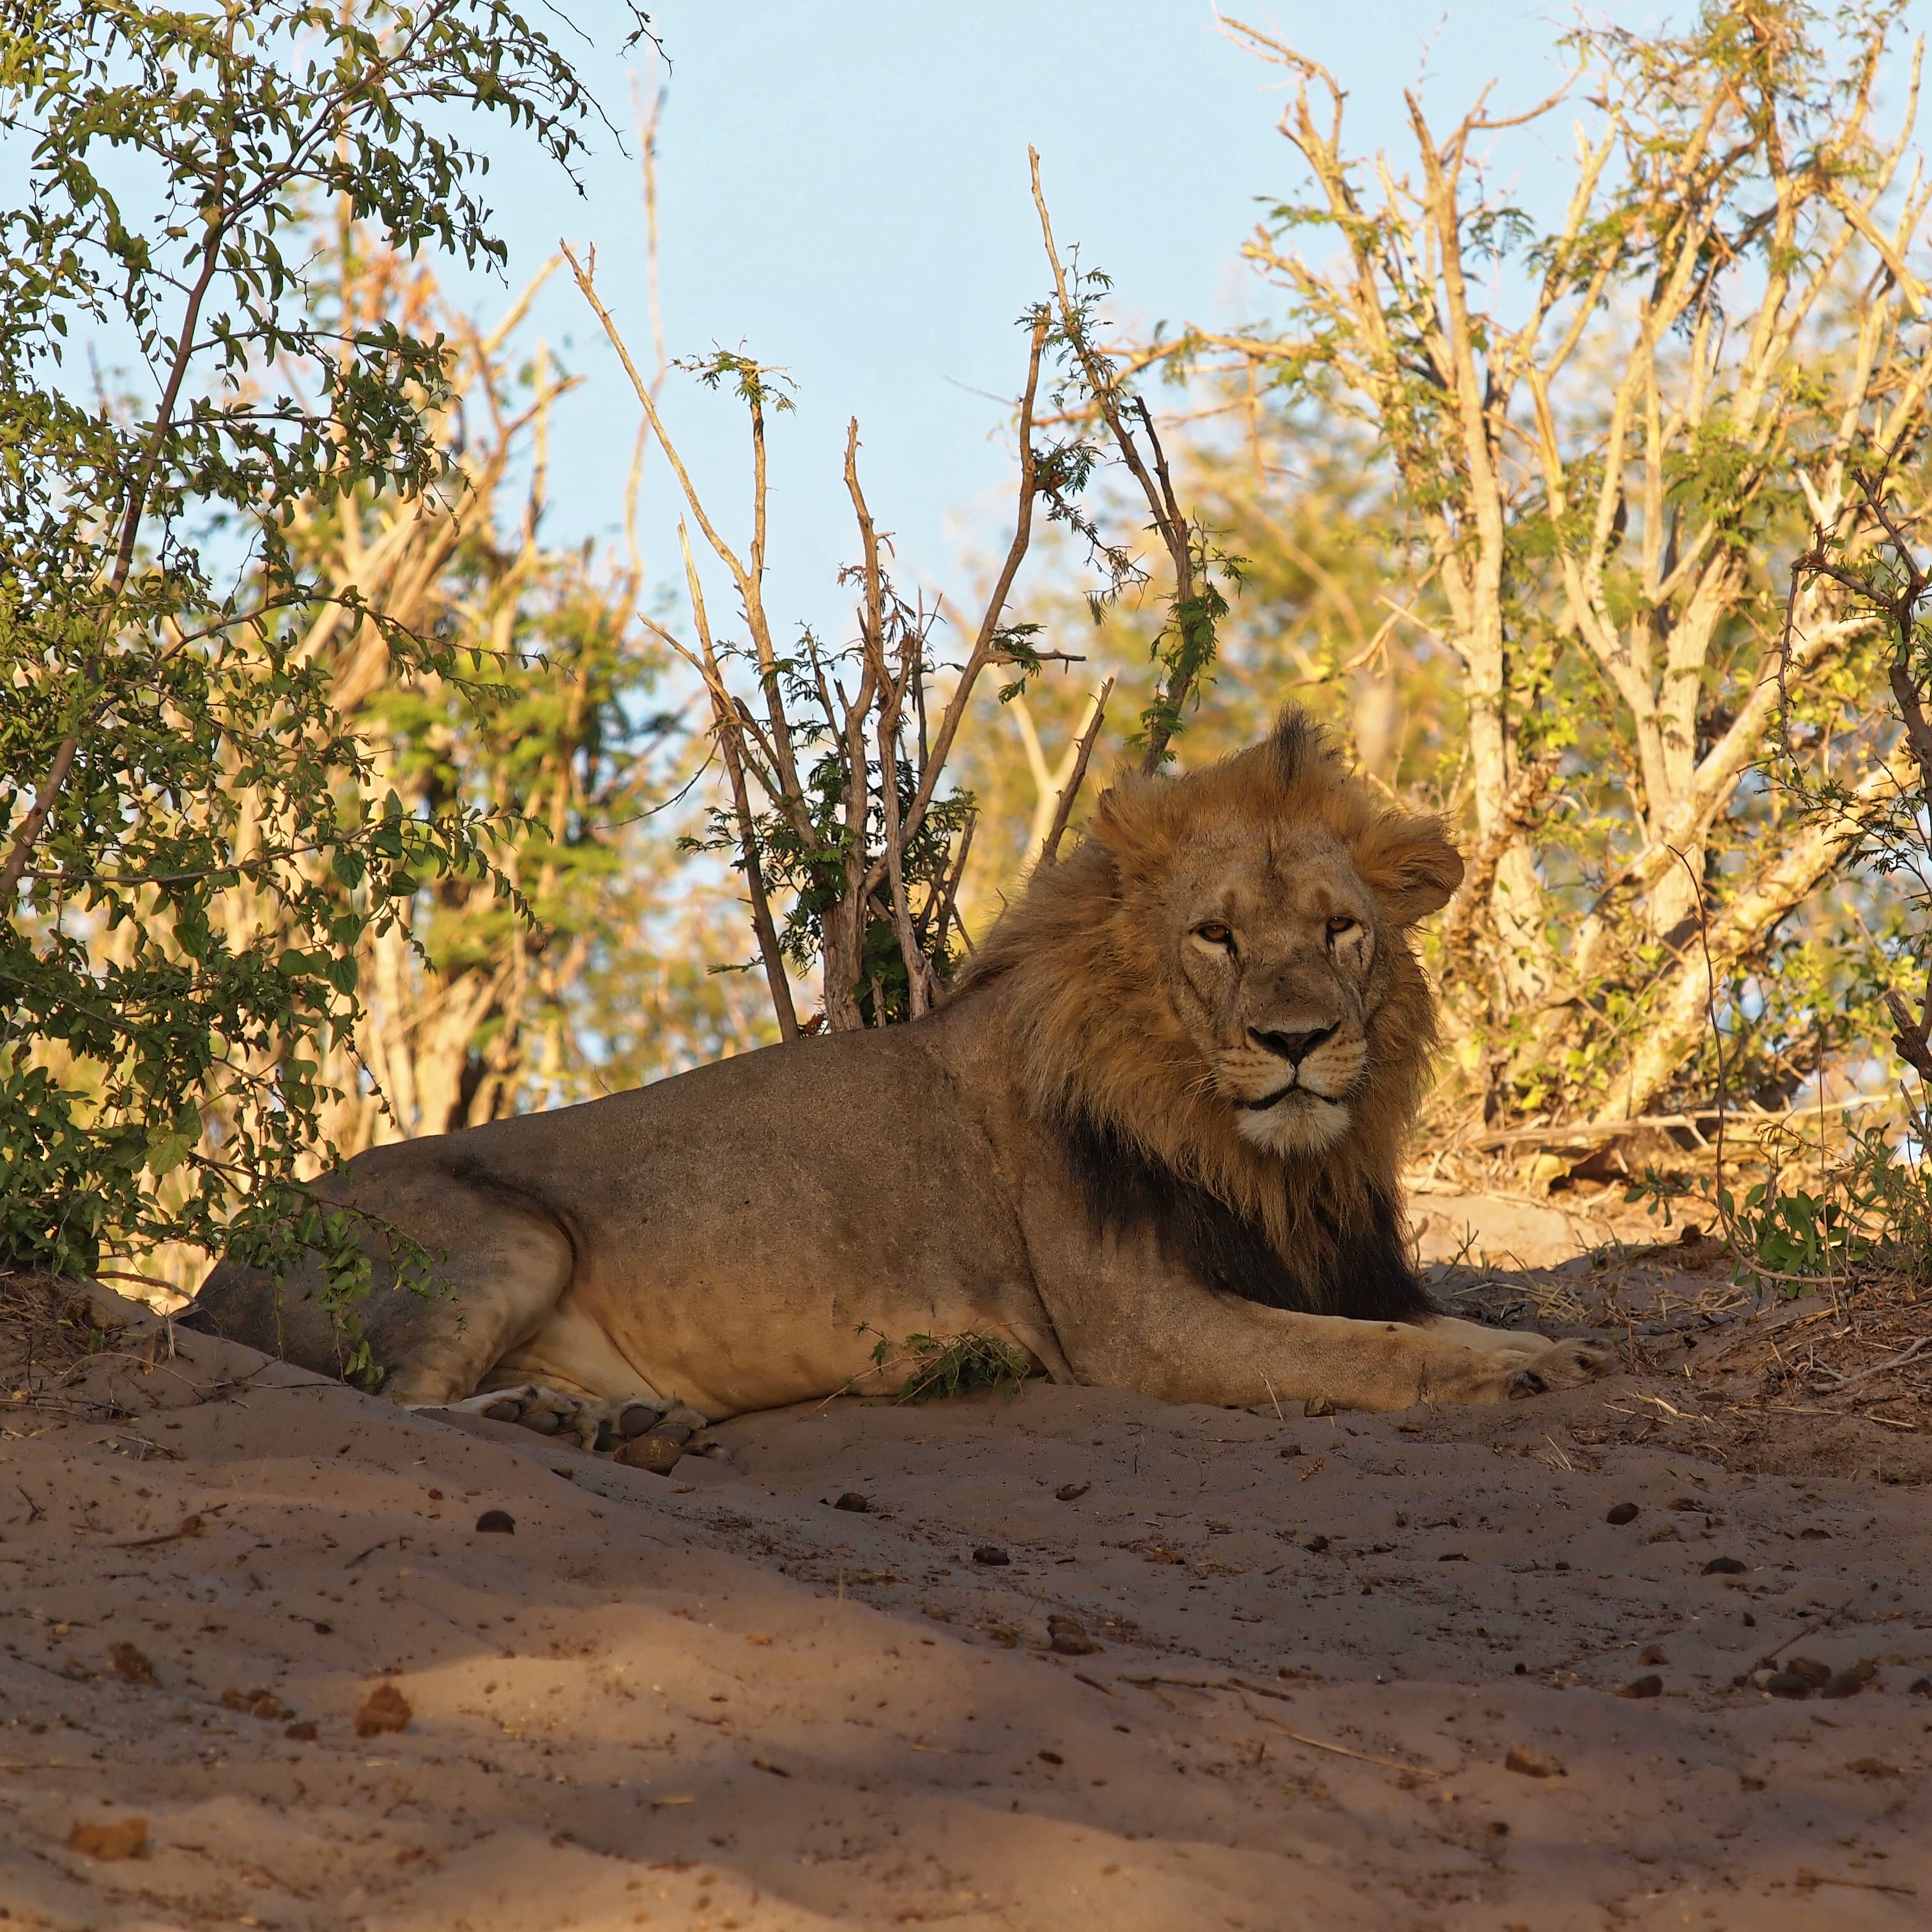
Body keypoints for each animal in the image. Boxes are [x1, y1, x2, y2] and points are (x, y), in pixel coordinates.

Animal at [183, 708, 1611, 1447]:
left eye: (1338, 929)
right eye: (1215, 935)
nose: (1298, 1041)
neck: (1258, 1154)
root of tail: (212, 1277)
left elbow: (1429, 1323)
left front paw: (1545, 1348)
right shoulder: (1137, 1330)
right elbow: (1375, 1355)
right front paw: (1515, 1375)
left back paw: (616, 1419)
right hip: (501, 1235)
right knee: (403, 1409)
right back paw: (551, 1424)